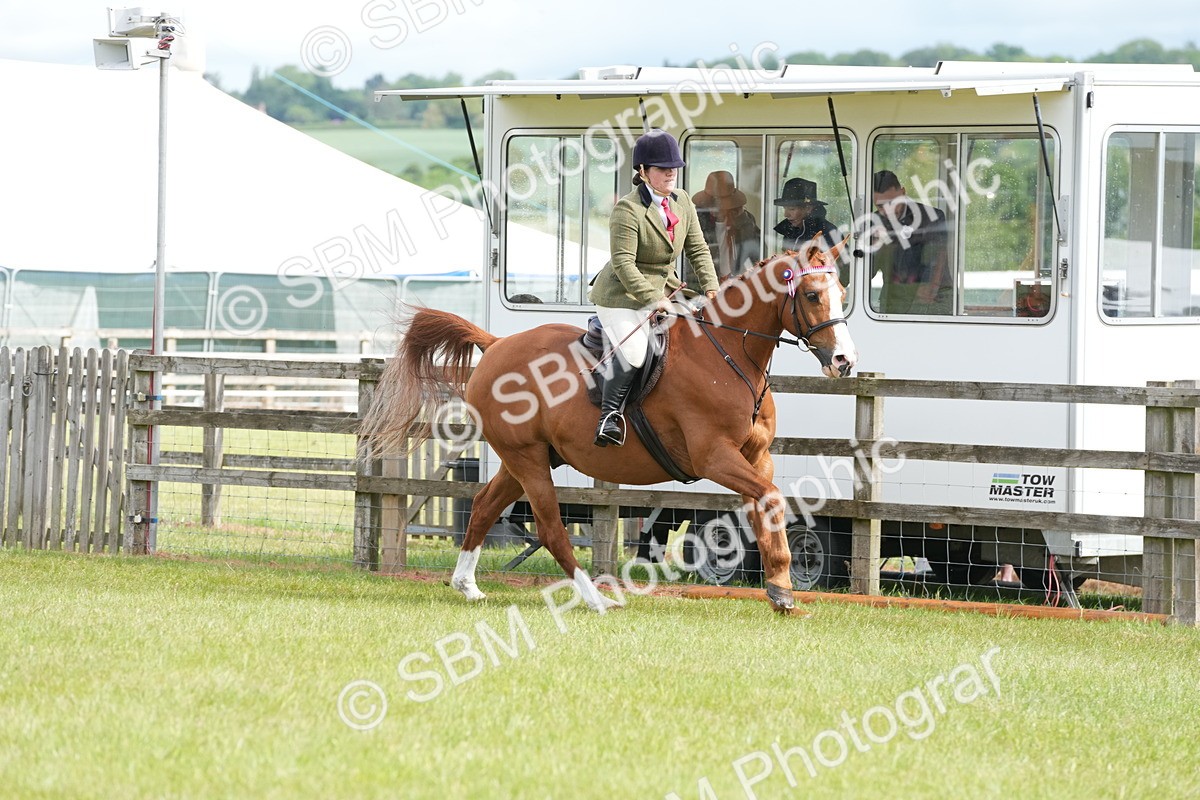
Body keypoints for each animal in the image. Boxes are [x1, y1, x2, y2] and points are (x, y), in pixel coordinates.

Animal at [359, 243, 858, 613]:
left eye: (842, 290)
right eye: (812, 296)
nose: (844, 362)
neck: (727, 354)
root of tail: (497, 343)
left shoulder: (758, 458)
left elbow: (768, 506)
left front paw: (780, 588)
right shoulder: (715, 458)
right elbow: (769, 499)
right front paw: (782, 587)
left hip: (526, 459)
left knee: (482, 507)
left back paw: (467, 585)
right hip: (527, 460)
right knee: (550, 530)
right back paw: (596, 599)